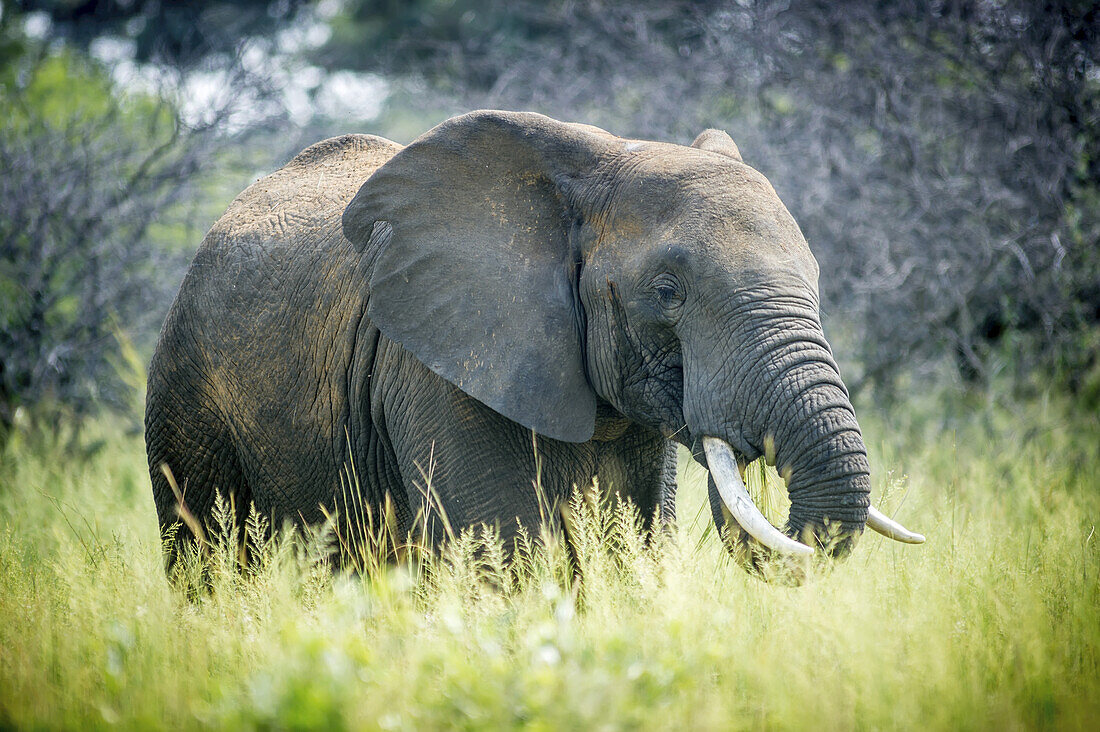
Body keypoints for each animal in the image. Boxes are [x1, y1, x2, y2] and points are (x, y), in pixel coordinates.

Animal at [144, 110, 919, 576]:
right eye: (668, 290)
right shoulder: (445, 363)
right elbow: (506, 548)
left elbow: (631, 545)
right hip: (186, 388)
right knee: (204, 552)